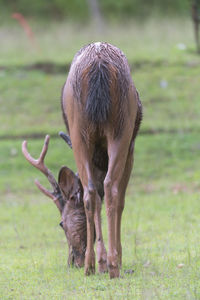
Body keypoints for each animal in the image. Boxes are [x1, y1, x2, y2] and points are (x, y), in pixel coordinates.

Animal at [61, 42, 142, 278]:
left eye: (61, 223)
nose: (72, 260)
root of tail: (98, 66)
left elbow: (97, 195)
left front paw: (101, 261)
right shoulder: (131, 148)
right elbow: (119, 199)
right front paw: (111, 260)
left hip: (80, 132)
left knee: (91, 192)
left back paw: (91, 265)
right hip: (121, 127)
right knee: (111, 188)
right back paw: (115, 264)